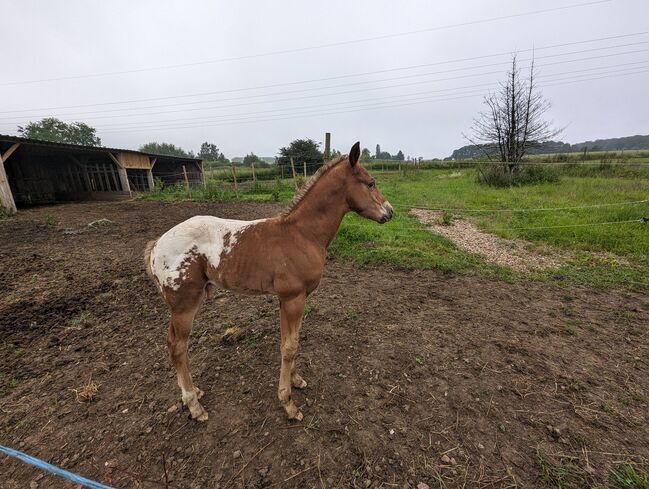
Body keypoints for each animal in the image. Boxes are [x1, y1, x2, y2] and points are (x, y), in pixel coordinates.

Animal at [144, 141, 392, 420]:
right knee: (178, 347)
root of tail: (156, 245)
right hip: (184, 305)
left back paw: (194, 392)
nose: (390, 212)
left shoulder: (287, 300)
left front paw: (296, 380)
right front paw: (288, 403)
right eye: (370, 183)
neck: (302, 234)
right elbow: (290, 347)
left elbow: (289, 342)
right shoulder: (294, 298)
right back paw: (195, 406)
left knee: (172, 344)